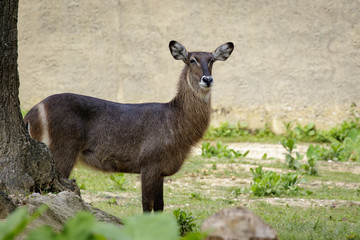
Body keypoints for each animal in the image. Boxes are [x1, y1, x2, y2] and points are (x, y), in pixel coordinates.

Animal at [23, 41, 235, 212]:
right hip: (62, 152)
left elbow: (160, 206)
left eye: (212, 60)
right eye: (192, 60)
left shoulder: (161, 171)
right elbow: (147, 205)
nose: (207, 79)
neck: (175, 121)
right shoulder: (149, 165)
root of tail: (31, 113)